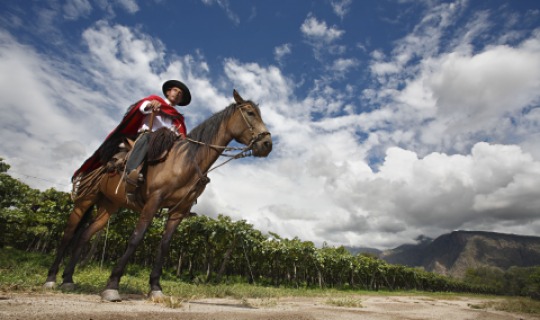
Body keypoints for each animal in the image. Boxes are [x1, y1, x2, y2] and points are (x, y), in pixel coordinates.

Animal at [42, 89, 272, 300]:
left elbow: (164, 246)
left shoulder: (179, 211)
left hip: (108, 205)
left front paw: (156, 288)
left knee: (84, 235)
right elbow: (136, 238)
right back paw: (51, 279)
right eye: (250, 113)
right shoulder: (153, 201)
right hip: (85, 200)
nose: (267, 144)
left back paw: (68, 279)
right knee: (68, 234)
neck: (186, 160)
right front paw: (112, 285)